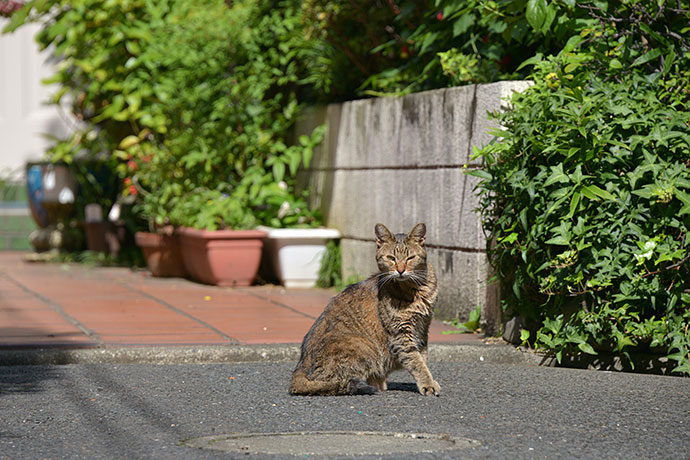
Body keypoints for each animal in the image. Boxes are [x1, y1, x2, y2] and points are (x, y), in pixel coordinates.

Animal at [288, 223, 438, 396]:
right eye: (391, 258)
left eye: (410, 258)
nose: (400, 270)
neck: (416, 289)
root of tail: (300, 367)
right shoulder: (401, 334)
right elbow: (416, 361)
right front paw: (428, 384)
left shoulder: (423, 329)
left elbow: (423, 358)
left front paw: (428, 380)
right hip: (363, 344)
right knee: (338, 382)